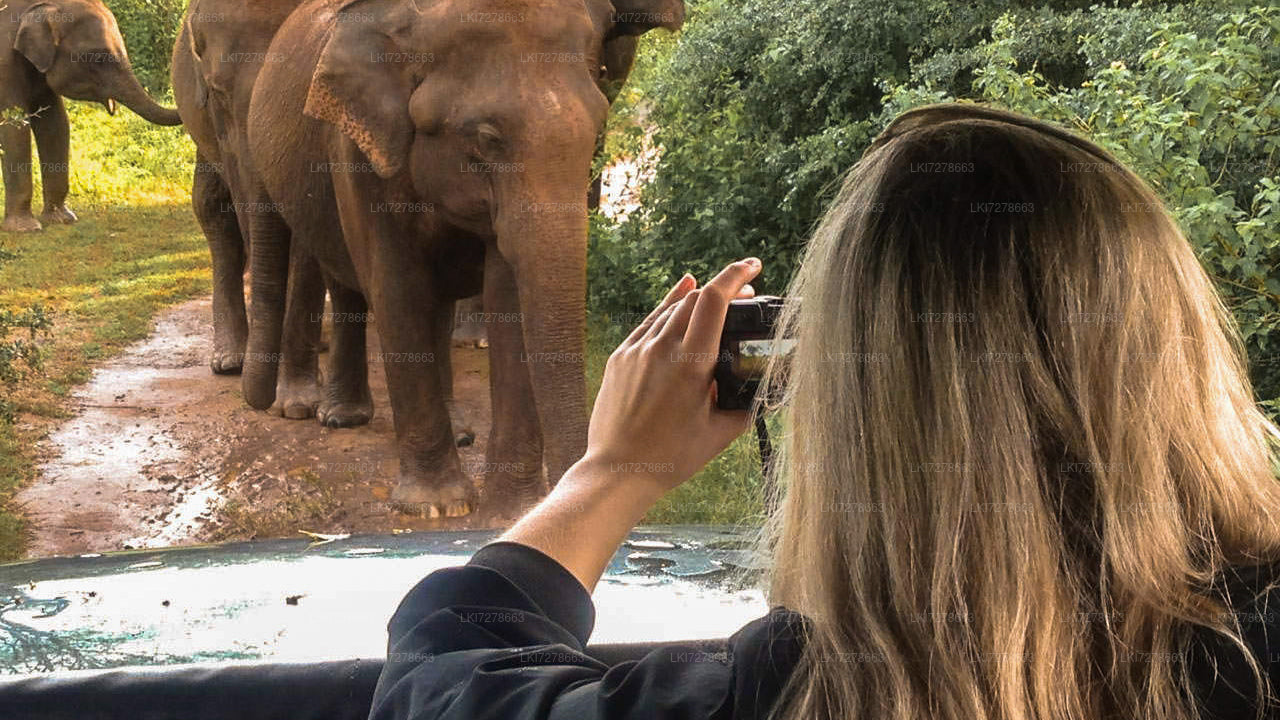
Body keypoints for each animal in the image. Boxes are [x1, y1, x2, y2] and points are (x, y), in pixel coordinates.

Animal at [0, 0, 182, 232]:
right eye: (98, 58)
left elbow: (56, 124)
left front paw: (62, 219)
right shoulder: (4, 65)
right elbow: (15, 128)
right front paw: (26, 228)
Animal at [244, 0, 682, 519]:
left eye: (598, 129)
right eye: (487, 138)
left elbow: (507, 294)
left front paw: (510, 513)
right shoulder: (356, 148)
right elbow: (396, 287)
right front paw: (437, 506)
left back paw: (457, 432)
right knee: (348, 281)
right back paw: (340, 419)